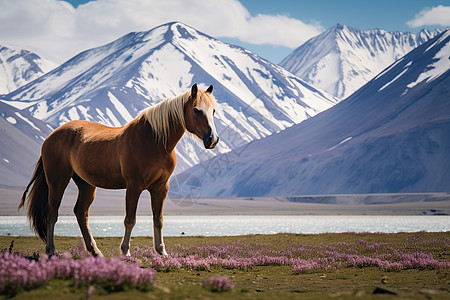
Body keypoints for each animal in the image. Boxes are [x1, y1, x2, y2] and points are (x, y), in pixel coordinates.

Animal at [18, 83, 219, 256]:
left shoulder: (161, 187)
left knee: (81, 213)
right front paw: (125, 252)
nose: (213, 139)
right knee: (52, 213)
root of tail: (51, 136)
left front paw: (162, 252)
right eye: (196, 110)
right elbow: (130, 219)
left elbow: (158, 219)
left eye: (213, 111)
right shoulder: (134, 186)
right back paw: (51, 250)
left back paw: (95, 252)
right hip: (58, 181)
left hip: (86, 185)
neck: (154, 142)